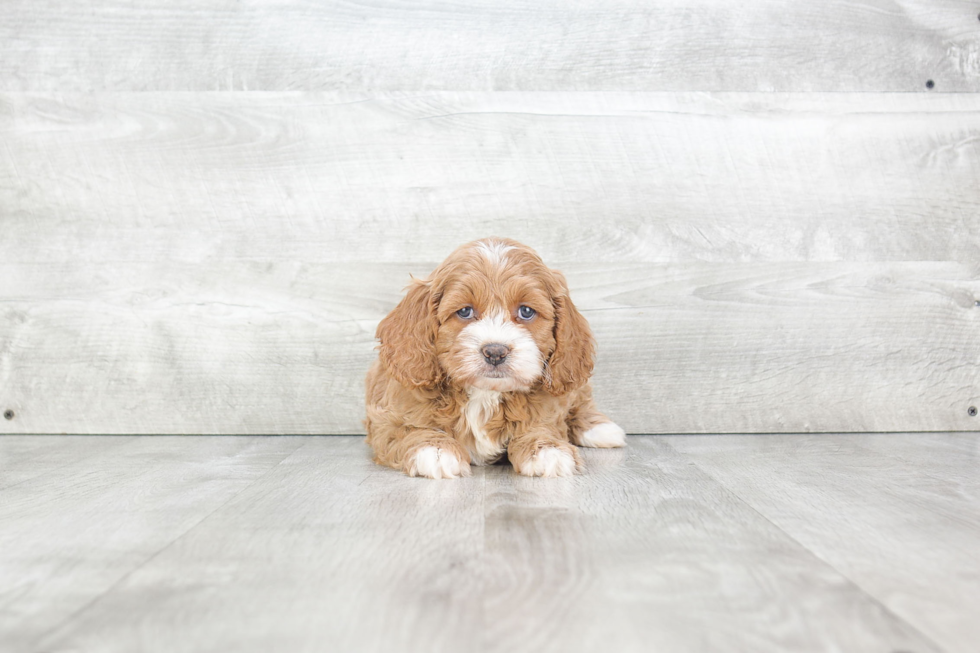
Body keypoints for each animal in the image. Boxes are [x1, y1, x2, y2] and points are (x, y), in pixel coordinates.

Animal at [364, 237, 624, 476]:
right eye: (465, 311)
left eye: (526, 311)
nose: (495, 352)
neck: (485, 392)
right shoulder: (387, 418)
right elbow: (409, 429)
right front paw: (436, 450)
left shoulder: (547, 406)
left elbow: (542, 425)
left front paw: (547, 448)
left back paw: (600, 429)